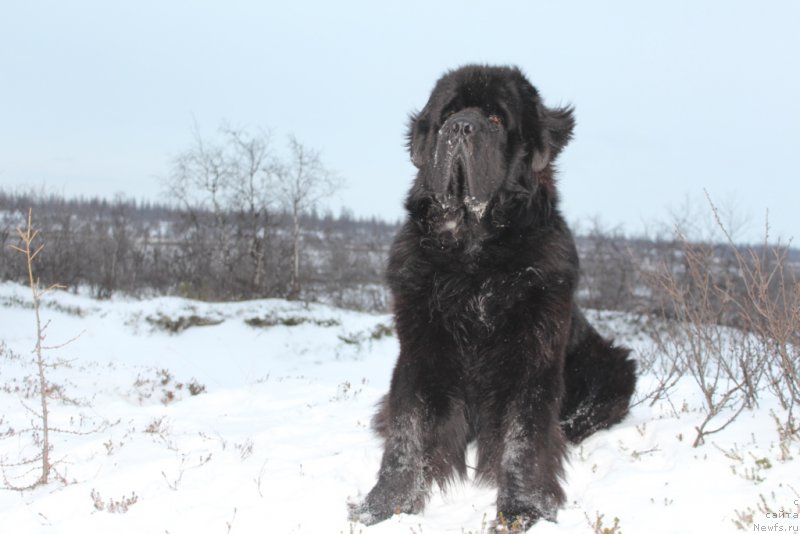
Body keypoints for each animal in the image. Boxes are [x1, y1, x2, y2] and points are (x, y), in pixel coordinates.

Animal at [350, 65, 636, 528]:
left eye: (497, 119)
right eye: (447, 114)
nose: (461, 127)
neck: (473, 257)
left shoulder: (531, 355)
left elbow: (524, 436)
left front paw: (522, 509)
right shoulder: (420, 350)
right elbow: (407, 431)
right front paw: (383, 507)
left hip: (615, 364)